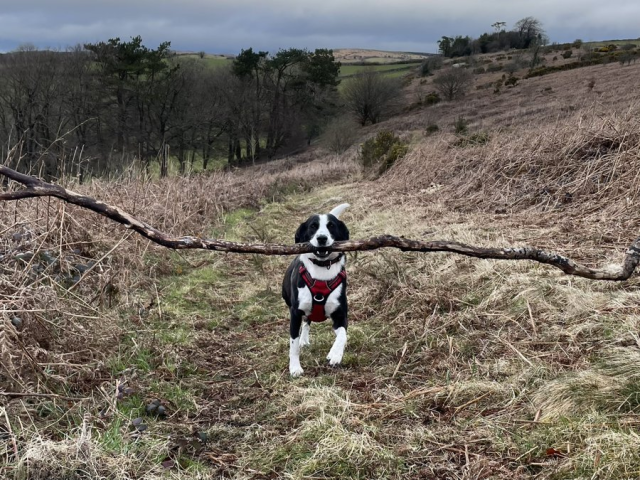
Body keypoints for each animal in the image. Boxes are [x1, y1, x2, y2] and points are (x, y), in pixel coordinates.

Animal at [280, 202, 350, 376]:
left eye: (331, 226)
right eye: (313, 227)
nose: (322, 238)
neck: (322, 270)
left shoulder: (340, 315)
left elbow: (343, 335)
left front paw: (335, 354)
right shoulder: (295, 314)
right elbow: (293, 344)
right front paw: (295, 368)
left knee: (308, 321)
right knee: (306, 321)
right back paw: (303, 340)